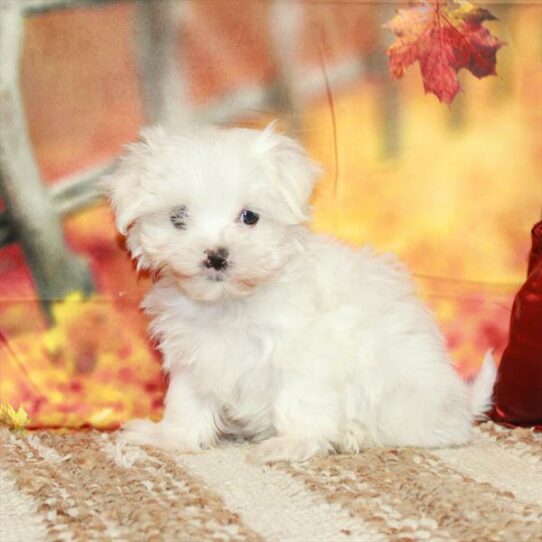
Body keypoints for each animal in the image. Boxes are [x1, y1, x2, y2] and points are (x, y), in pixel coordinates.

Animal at [105, 125, 498, 466]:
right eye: (178, 217)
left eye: (249, 217)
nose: (216, 255)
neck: (232, 303)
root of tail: (460, 408)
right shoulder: (193, 353)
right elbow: (186, 399)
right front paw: (170, 436)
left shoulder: (305, 354)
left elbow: (296, 400)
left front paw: (292, 443)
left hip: (399, 394)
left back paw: (353, 435)